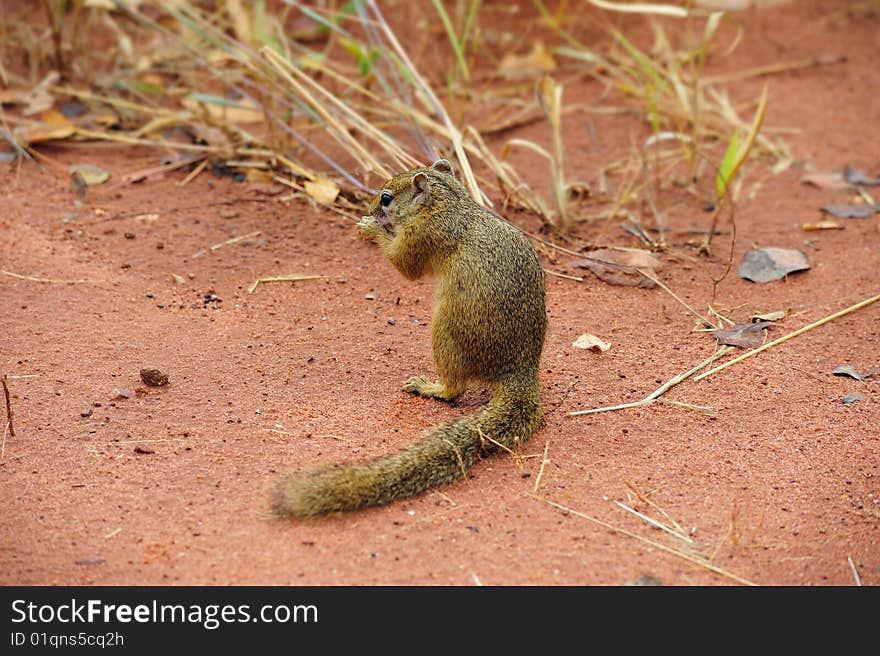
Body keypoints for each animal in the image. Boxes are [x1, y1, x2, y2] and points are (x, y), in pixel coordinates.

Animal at [270, 160, 544, 516]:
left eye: (386, 198)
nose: (369, 208)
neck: (446, 203)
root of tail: (519, 370)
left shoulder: (421, 236)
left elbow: (405, 266)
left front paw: (371, 228)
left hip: (445, 334)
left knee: (455, 389)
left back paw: (430, 387)